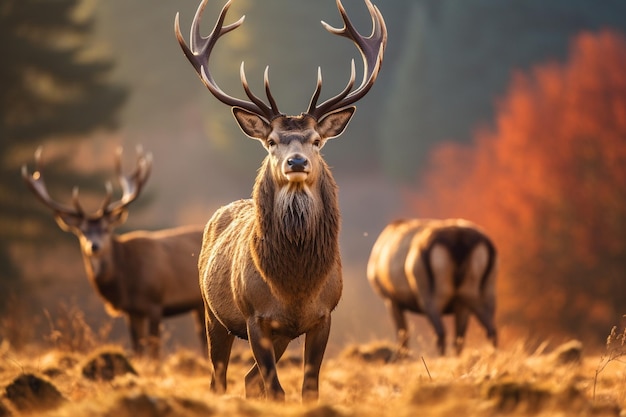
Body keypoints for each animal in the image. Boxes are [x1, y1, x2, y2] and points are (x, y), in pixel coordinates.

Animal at [22, 147, 206, 358]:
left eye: (106, 228)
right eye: (82, 231)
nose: (94, 246)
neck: (127, 282)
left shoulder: (155, 303)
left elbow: (154, 351)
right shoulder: (132, 311)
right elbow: (137, 349)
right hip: (198, 305)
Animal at [173, 0, 382, 402]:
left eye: (316, 140)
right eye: (272, 141)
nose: (296, 162)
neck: (295, 286)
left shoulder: (323, 316)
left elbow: (308, 388)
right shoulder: (256, 316)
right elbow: (275, 389)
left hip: (281, 334)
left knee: (248, 379)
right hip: (211, 312)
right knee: (219, 378)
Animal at [366, 218, 498, 354]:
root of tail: (458, 244)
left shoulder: (390, 298)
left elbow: (402, 334)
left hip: (429, 291)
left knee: (440, 331)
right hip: (484, 289)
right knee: (485, 329)